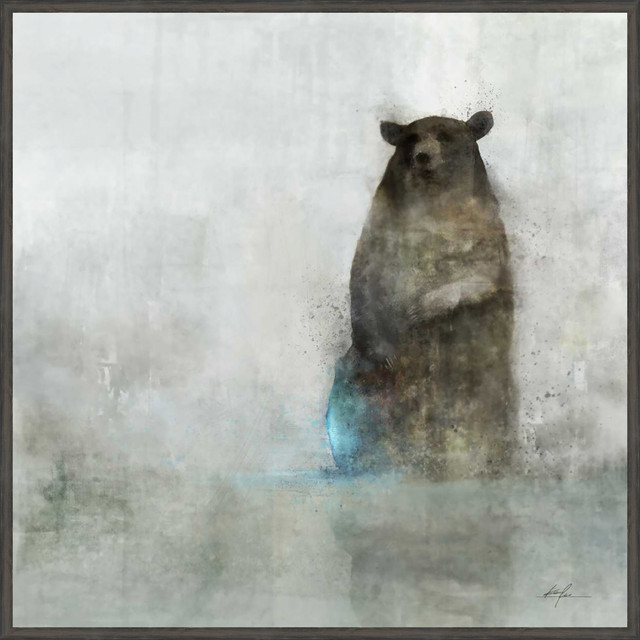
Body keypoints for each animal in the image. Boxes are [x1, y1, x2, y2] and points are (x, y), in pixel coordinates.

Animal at [326, 111, 515, 480]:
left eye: (444, 136)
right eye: (411, 138)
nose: (423, 157)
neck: (433, 206)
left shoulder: (485, 235)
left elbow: (482, 278)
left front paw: (420, 308)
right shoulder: (382, 230)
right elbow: (363, 281)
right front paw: (387, 350)